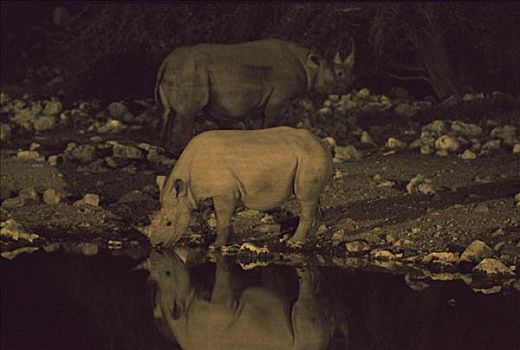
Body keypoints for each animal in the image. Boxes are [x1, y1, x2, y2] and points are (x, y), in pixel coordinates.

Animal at [146, 126, 334, 249]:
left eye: (169, 223)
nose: (156, 245)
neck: (187, 186)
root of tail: (322, 143)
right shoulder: (228, 192)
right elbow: (224, 219)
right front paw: (231, 240)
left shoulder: (224, 193)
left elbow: (222, 219)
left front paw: (215, 245)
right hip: (309, 155)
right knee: (313, 199)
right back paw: (309, 237)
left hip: (310, 156)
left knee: (304, 198)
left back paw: (294, 242)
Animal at [154, 38, 356, 153]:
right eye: (339, 73)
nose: (348, 87)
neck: (310, 65)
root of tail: (165, 62)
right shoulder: (279, 100)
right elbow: (272, 124)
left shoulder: (262, 103)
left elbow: (260, 127)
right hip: (190, 71)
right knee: (187, 114)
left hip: (178, 70)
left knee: (166, 112)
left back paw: (166, 152)